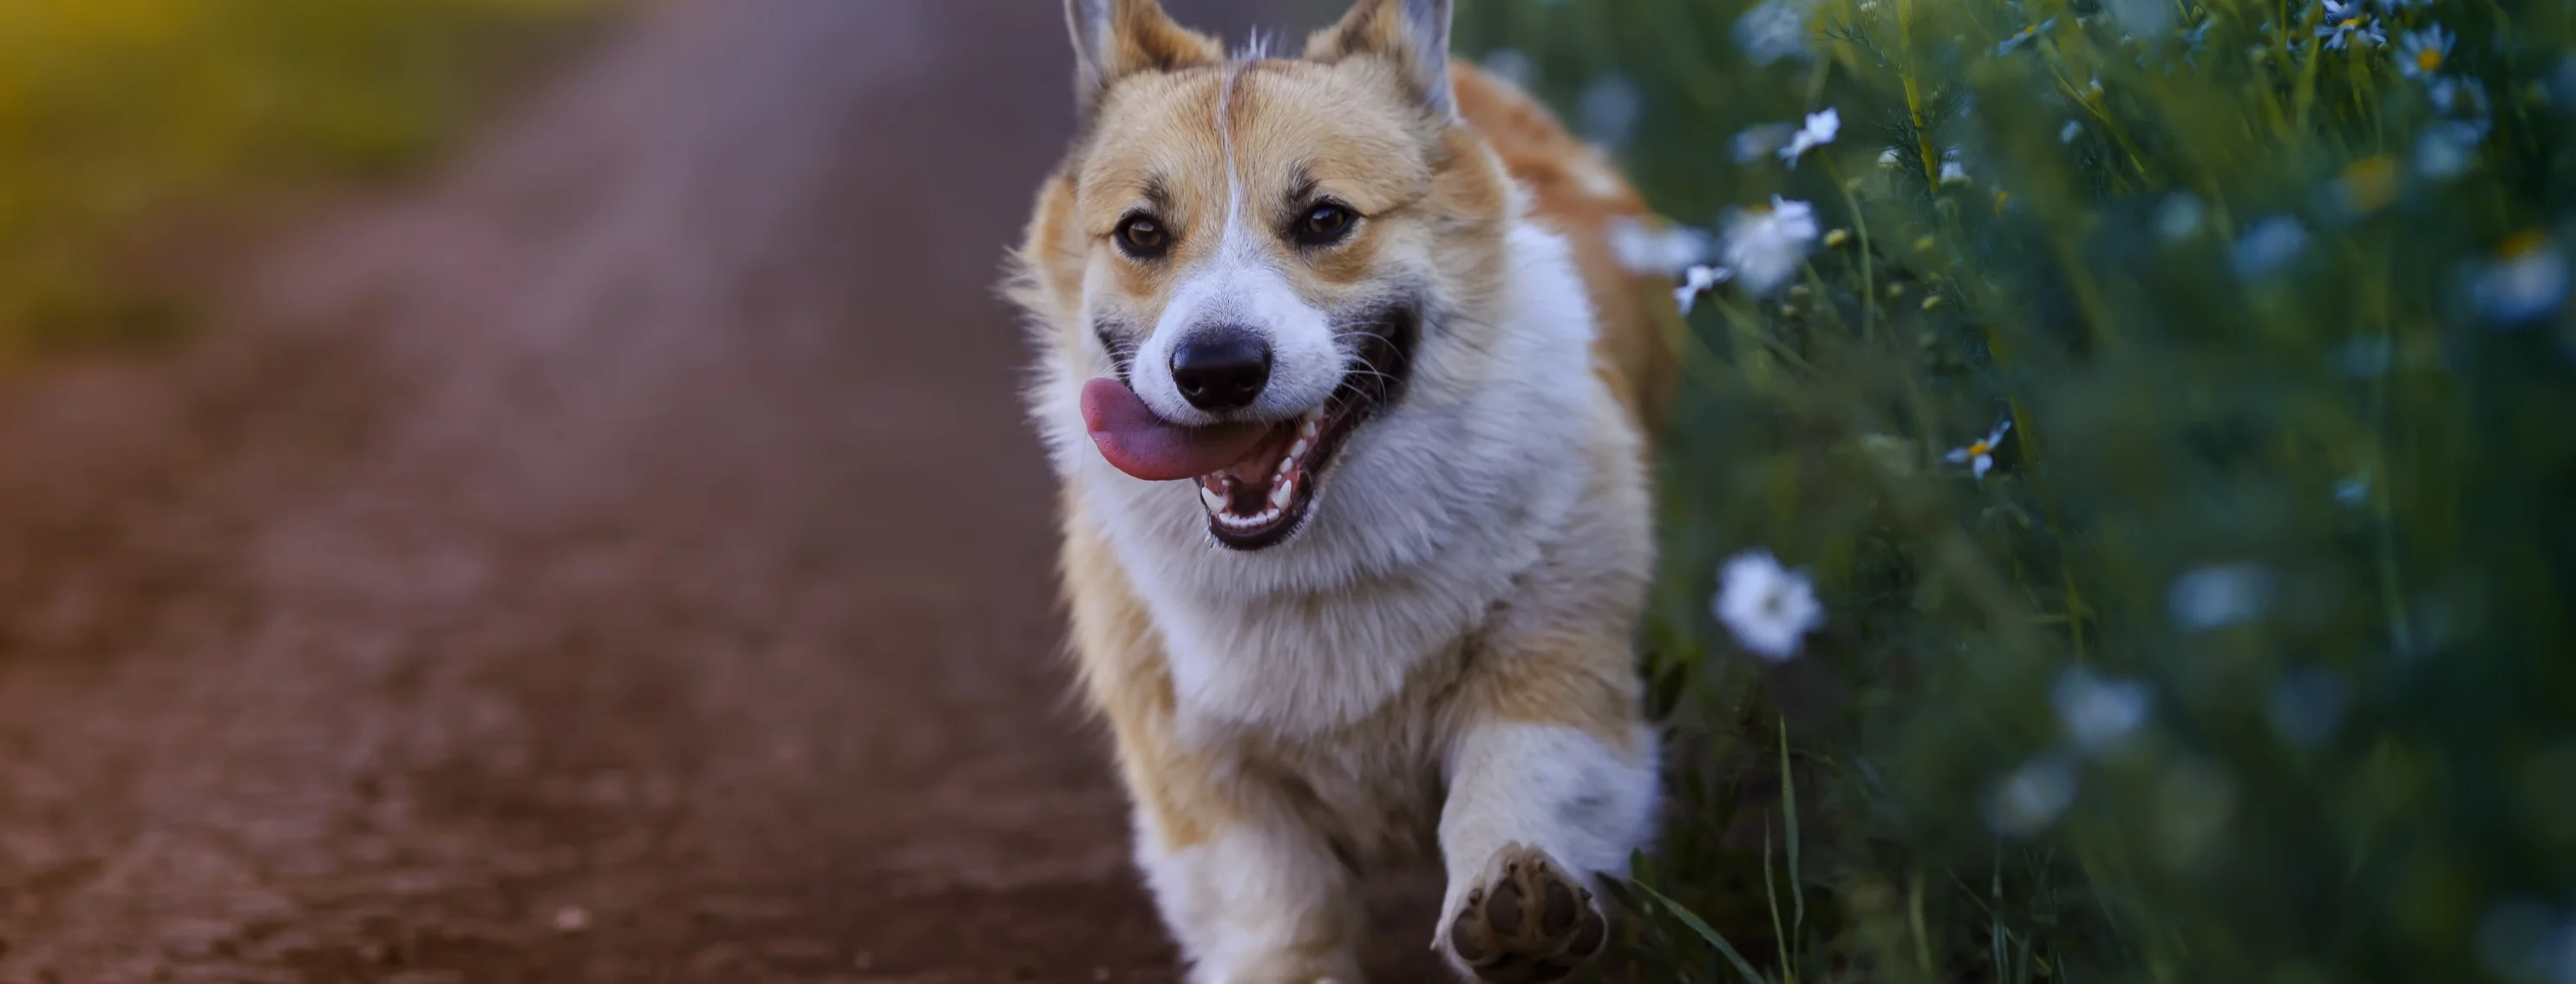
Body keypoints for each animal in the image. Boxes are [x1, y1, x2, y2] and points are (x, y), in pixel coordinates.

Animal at [1004, 2, 1690, 979]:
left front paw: (1520, 904)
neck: (1315, 561)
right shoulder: (1205, 778)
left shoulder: (1555, 652)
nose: (1216, 370)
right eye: (1141, 233)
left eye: (1326, 219)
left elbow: (1521, 781)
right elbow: (1279, 917)